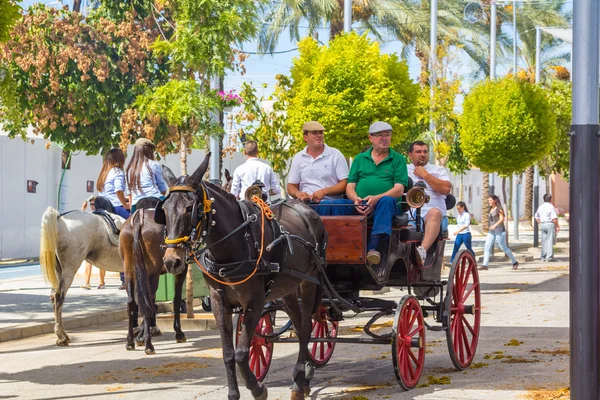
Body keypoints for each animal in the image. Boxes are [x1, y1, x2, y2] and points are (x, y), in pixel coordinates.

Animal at [39, 208, 126, 346]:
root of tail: (60, 218)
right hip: (69, 270)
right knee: (58, 297)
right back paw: (61, 336)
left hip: (59, 271)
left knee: (53, 296)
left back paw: (63, 334)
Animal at [155, 153, 328, 400]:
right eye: (165, 209)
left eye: (190, 208)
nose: (172, 260)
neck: (233, 247)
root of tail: (306, 209)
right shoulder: (219, 302)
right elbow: (229, 353)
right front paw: (234, 393)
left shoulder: (254, 302)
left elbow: (242, 352)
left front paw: (258, 388)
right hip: (287, 289)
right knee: (298, 323)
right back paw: (301, 379)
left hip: (308, 282)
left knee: (305, 327)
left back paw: (299, 381)